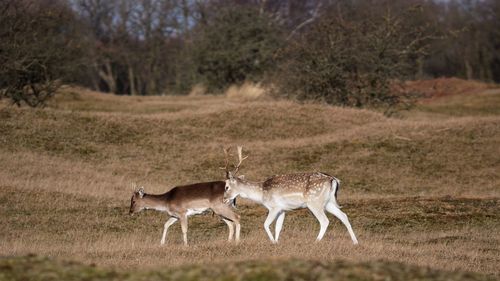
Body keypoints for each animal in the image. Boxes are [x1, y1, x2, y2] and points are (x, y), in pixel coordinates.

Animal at [223, 145, 360, 244]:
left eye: (226, 187)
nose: (224, 200)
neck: (261, 193)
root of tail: (333, 179)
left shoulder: (274, 207)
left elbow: (266, 224)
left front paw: (272, 242)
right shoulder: (283, 209)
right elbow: (278, 227)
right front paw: (277, 243)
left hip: (314, 202)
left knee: (325, 221)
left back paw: (316, 242)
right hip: (328, 203)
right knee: (343, 216)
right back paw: (355, 242)